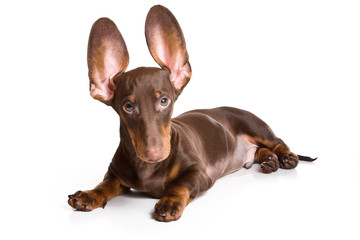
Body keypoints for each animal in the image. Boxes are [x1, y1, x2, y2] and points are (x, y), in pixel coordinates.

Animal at [67, 4, 316, 222]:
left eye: (164, 101)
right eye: (128, 107)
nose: (155, 153)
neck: (147, 169)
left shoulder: (198, 172)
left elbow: (180, 184)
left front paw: (170, 201)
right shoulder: (116, 174)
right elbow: (105, 184)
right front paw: (89, 194)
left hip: (256, 127)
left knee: (277, 141)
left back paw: (286, 157)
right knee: (259, 152)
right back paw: (269, 161)